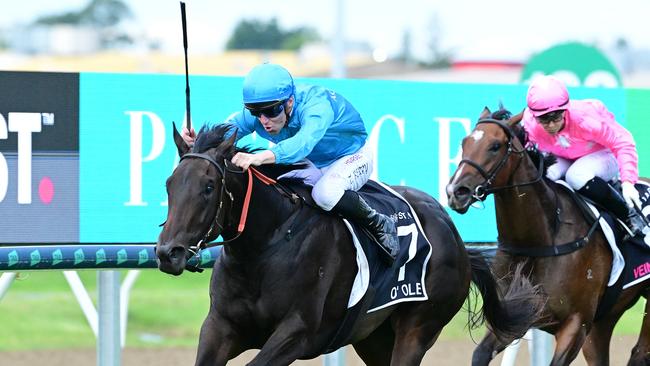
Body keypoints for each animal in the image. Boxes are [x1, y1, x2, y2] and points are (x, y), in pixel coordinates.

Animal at [154, 123, 540, 366]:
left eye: (208, 187)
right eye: (169, 184)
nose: (168, 253)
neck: (266, 246)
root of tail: (454, 235)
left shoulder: (297, 333)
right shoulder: (220, 327)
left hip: (418, 328)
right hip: (374, 337)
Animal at [446, 106, 648, 366]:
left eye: (495, 146)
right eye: (464, 142)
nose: (456, 192)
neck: (540, 240)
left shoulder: (576, 324)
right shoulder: (515, 315)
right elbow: (480, 354)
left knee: (640, 352)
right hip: (604, 319)